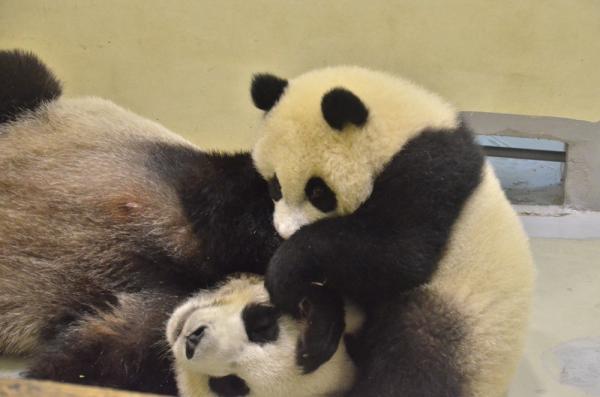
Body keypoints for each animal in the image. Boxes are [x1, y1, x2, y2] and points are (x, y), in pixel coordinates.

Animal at [248, 67, 536, 396]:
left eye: (318, 192)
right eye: (275, 186)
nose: (285, 232)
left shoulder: (428, 172)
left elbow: (402, 253)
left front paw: (285, 271)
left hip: (463, 322)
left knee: (414, 364)